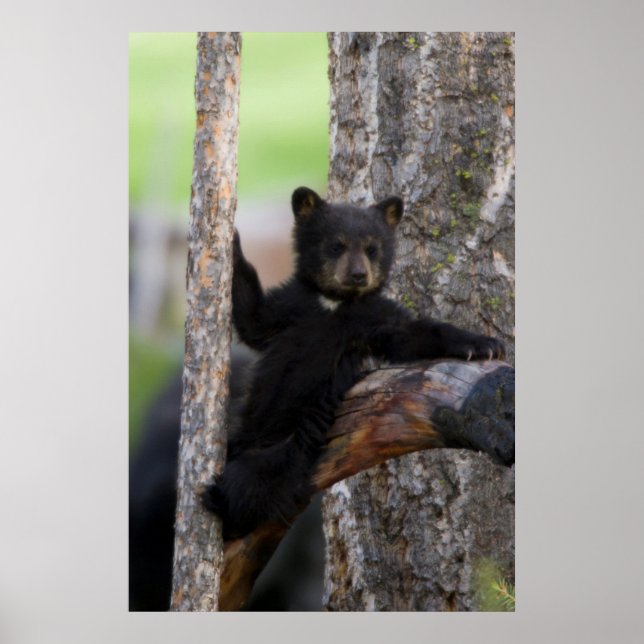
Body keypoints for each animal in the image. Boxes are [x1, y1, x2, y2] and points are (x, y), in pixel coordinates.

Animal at [202, 187, 505, 540]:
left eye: (372, 248)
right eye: (337, 245)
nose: (359, 274)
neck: (334, 303)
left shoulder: (370, 318)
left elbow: (411, 334)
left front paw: (483, 344)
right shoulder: (291, 306)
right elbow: (254, 319)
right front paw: (232, 240)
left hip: (287, 448)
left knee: (250, 483)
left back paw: (220, 502)